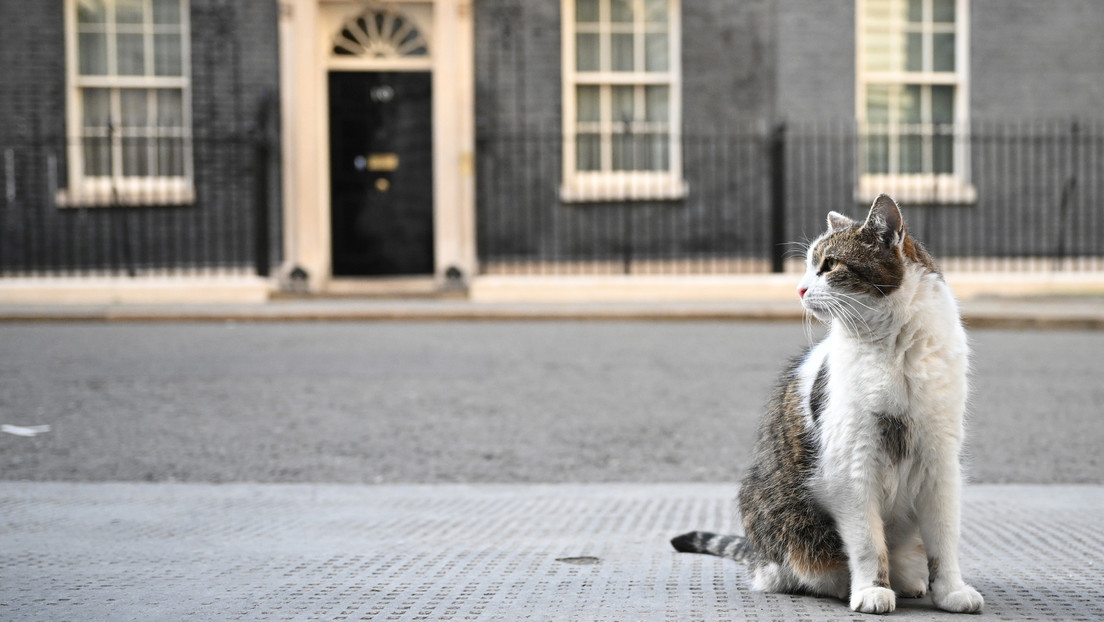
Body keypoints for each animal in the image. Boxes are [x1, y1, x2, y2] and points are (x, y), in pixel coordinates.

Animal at [671, 196, 984, 614]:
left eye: (830, 265)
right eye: (807, 266)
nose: (800, 289)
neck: (894, 350)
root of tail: (757, 554)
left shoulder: (940, 462)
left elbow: (944, 539)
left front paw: (950, 590)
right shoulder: (852, 465)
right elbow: (868, 542)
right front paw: (871, 590)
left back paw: (909, 580)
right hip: (775, 514)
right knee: (788, 570)